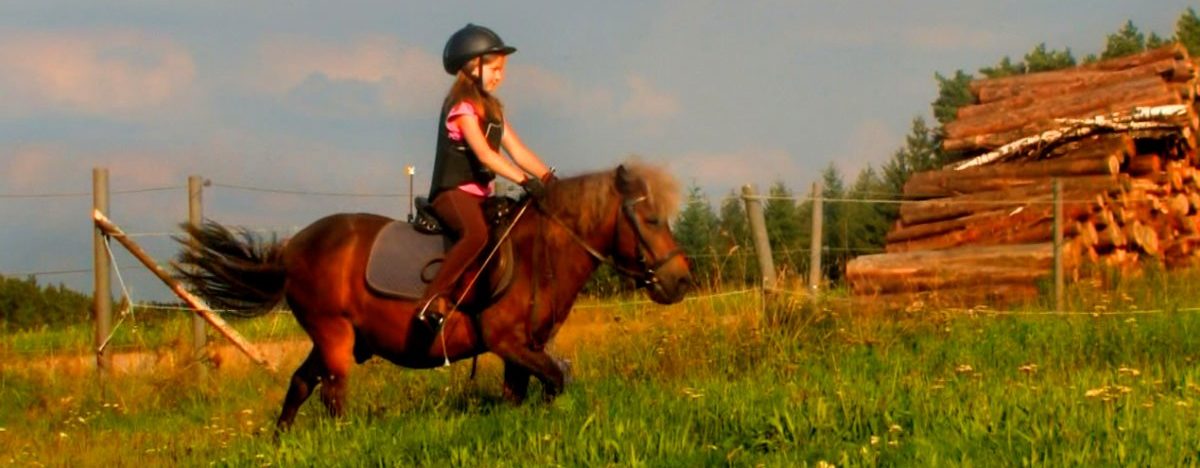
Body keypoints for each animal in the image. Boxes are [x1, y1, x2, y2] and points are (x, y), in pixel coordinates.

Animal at [172, 163, 691, 429]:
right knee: (333, 396)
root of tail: (292, 248)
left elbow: (524, 392)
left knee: (301, 383)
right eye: (650, 219)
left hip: (329, 339)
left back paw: (282, 441)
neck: (538, 251)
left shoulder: (523, 348)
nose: (681, 281)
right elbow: (555, 380)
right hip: (333, 334)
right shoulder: (507, 341)